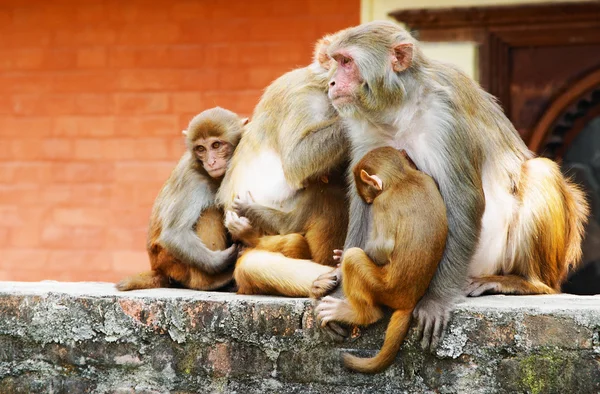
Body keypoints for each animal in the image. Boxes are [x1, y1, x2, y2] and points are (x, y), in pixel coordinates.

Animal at [316, 146, 448, 374]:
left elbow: (383, 247)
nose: (367, 202)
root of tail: (409, 300)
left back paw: (361, 314)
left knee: (355, 259)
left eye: (369, 195)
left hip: (384, 288)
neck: (402, 178)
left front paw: (341, 259)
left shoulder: (382, 203)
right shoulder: (427, 178)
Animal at [322, 20, 588, 350]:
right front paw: (341, 295)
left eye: (346, 62)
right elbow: (363, 204)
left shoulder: (445, 116)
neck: (398, 108)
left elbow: (465, 199)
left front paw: (436, 301)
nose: (331, 83)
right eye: (335, 61)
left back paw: (525, 282)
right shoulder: (364, 134)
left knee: (540, 172)